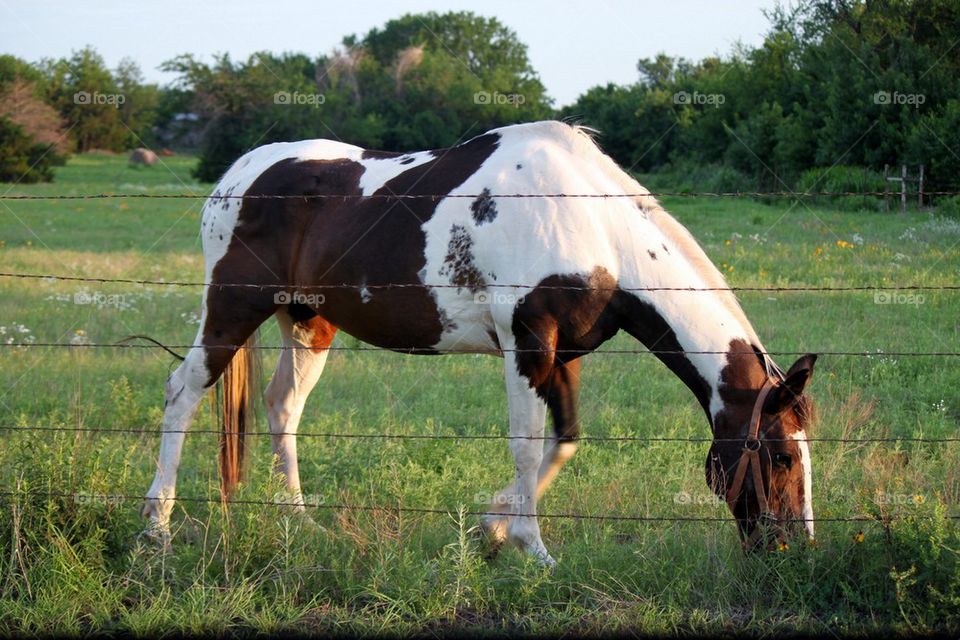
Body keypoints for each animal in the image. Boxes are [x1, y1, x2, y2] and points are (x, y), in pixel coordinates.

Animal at [144, 121, 816, 564]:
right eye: (782, 456)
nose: (794, 550)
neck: (594, 224)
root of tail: (238, 175)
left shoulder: (562, 355)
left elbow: (565, 441)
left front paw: (493, 528)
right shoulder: (526, 344)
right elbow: (526, 445)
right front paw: (532, 549)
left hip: (309, 323)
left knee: (283, 407)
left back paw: (301, 525)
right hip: (233, 307)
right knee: (181, 393)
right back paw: (157, 529)